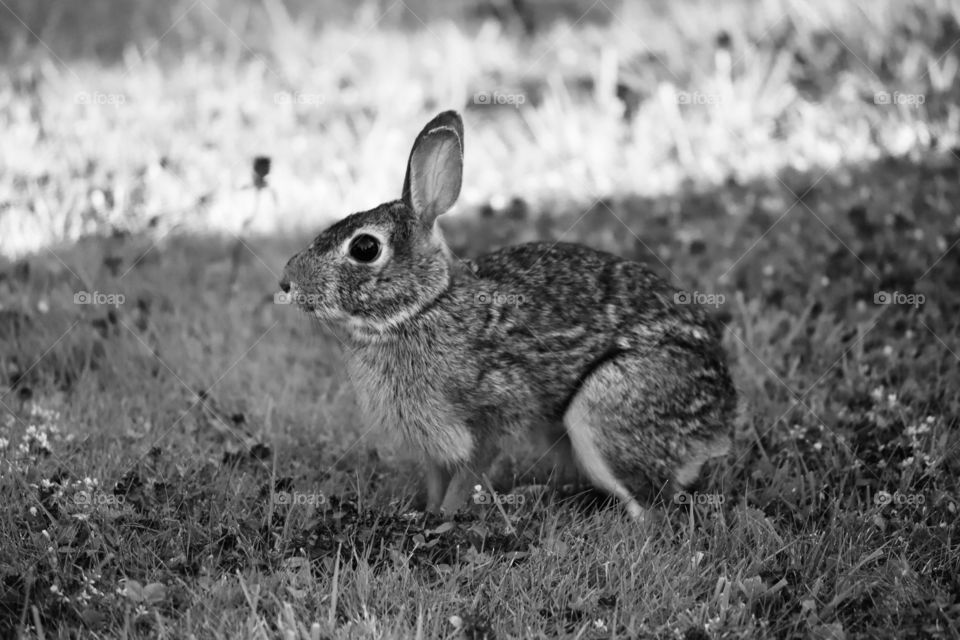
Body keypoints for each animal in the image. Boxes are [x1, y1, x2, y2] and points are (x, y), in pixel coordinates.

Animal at [282, 110, 740, 520]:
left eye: (365, 248)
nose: (286, 283)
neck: (423, 308)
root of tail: (723, 415)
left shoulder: (494, 413)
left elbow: (469, 473)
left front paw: (445, 521)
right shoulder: (431, 442)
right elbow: (436, 478)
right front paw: (426, 514)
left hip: (606, 406)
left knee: (654, 507)